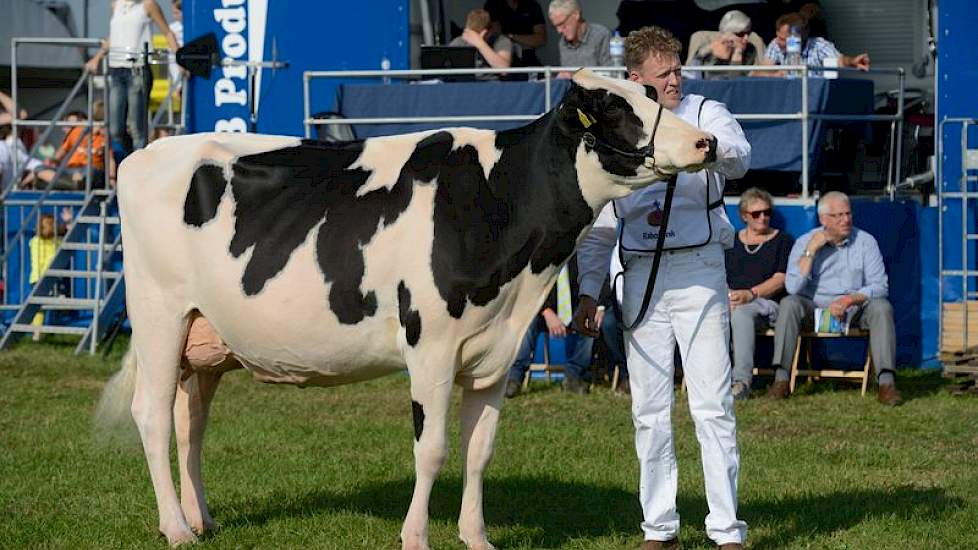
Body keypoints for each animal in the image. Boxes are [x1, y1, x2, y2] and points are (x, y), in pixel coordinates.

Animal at [99, 71, 716, 548]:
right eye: (615, 109)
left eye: (651, 95)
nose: (706, 141)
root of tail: (148, 151)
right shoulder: (431, 345)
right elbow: (433, 449)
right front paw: (416, 536)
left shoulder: (496, 350)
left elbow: (479, 450)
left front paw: (476, 536)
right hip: (158, 314)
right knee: (152, 416)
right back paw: (177, 529)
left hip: (204, 335)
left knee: (191, 425)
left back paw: (201, 520)